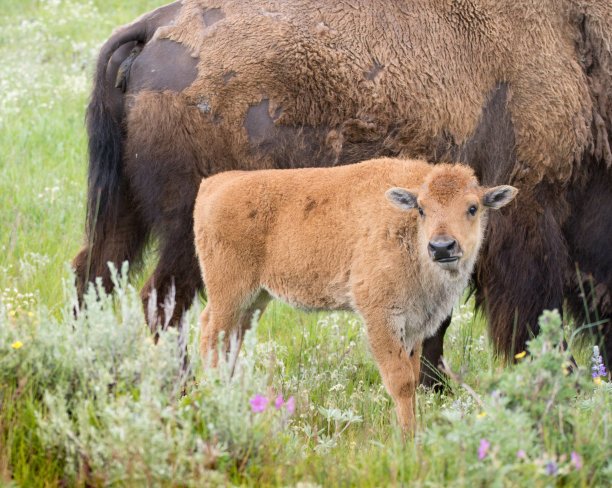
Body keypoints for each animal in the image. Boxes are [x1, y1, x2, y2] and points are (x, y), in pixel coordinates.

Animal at [75, 0, 612, 382]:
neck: (579, 57)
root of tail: (154, 27)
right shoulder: (525, 221)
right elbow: (532, 315)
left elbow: (436, 322)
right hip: (190, 232)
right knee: (162, 301)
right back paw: (183, 386)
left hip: (123, 213)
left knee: (93, 275)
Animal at [195, 157, 516, 430]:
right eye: (422, 209)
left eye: (472, 208)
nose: (442, 247)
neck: (408, 231)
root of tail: (214, 184)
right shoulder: (381, 317)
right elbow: (401, 382)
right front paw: (407, 440)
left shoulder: (414, 325)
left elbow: (412, 377)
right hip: (230, 292)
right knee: (211, 333)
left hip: (256, 298)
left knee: (229, 340)